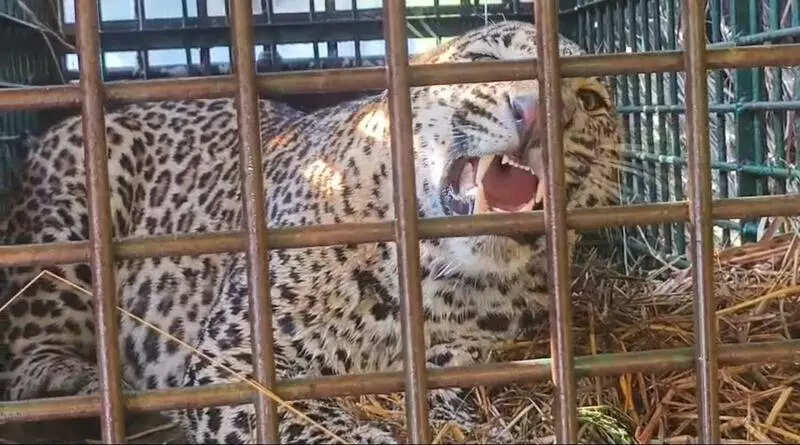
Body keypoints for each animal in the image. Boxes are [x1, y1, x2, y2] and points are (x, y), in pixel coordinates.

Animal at [0, 21, 622, 444]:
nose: (536, 110)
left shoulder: (475, 347)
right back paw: (73, 384)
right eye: (484, 59)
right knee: (24, 350)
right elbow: (294, 415)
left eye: (592, 100)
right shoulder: (235, 357)